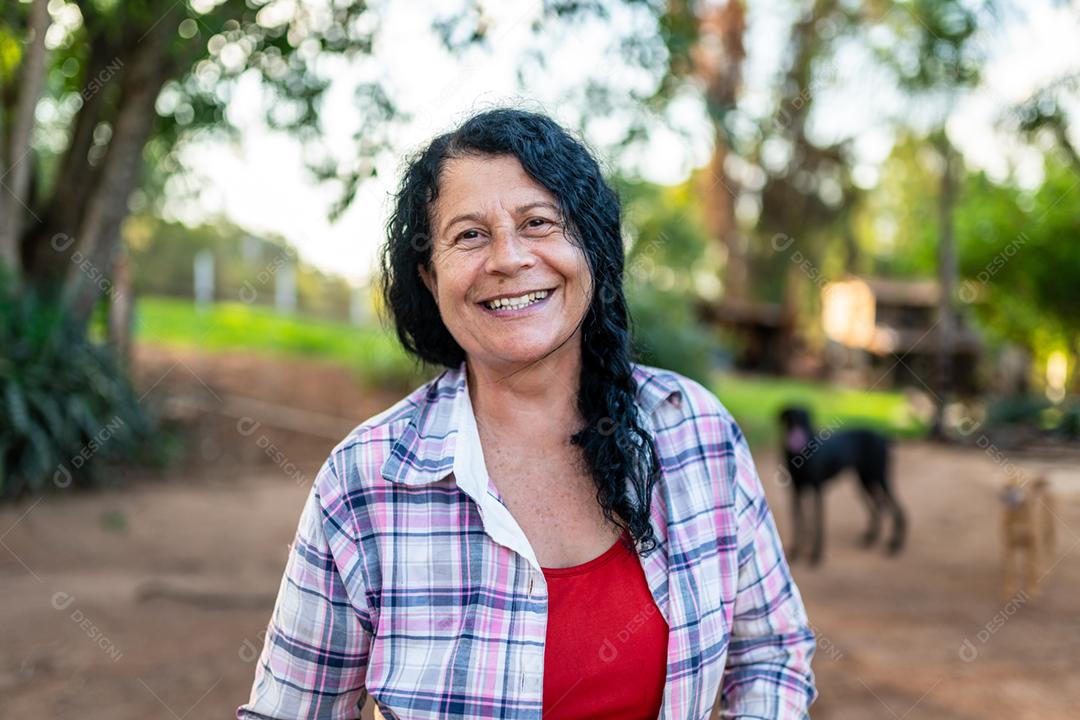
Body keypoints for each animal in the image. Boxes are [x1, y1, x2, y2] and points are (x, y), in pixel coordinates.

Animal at [777, 408, 902, 565]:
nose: (796, 421)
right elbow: (799, 522)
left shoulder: (817, 490)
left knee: (898, 510)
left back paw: (895, 544)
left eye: (803, 415)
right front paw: (796, 551)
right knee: (879, 507)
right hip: (864, 481)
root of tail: (884, 437)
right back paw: (870, 538)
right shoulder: (796, 490)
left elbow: (817, 523)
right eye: (790, 415)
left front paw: (816, 554)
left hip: (879, 477)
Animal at [997, 470, 1058, 600]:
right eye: (1006, 487)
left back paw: (1045, 569)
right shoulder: (1009, 545)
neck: (1019, 516)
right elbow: (1010, 570)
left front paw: (1032, 590)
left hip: (1050, 533)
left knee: (1048, 553)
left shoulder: (1033, 546)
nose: (1001, 497)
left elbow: (1032, 570)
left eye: (1019, 487)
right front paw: (1008, 589)